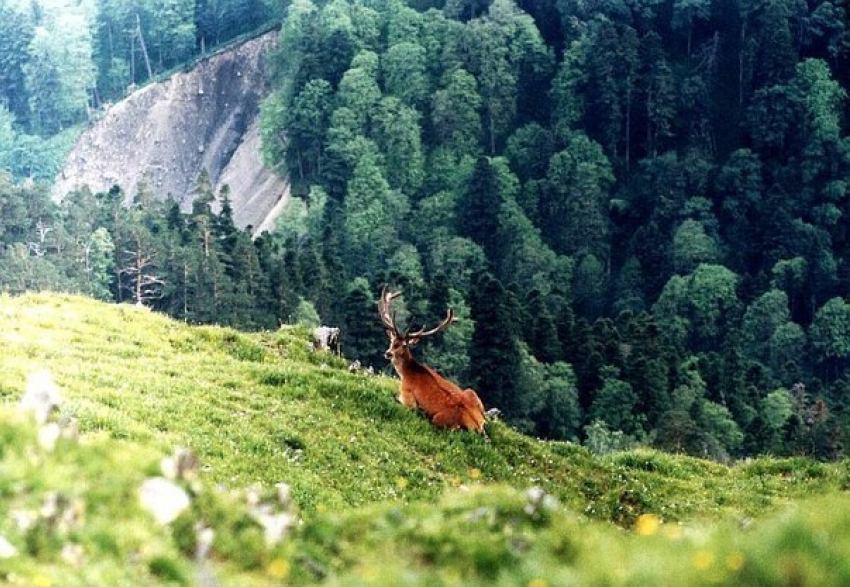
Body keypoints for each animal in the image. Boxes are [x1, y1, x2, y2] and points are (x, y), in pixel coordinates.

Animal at [376, 288, 484, 434]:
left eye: (404, 345)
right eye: (392, 341)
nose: (388, 353)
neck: (405, 373)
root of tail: (477, 424)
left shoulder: (407, 396)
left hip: (440, 421)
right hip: (472, 393)